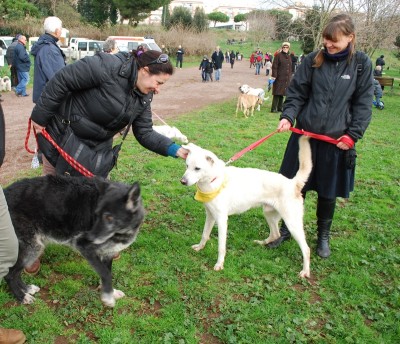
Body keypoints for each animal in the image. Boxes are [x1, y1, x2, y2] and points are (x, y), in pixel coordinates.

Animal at [3, 175, 145, 306]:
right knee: (9, 274)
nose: (88, 237)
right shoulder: (86, 249)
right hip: (33, 247)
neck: (121, 232)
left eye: (109, 218)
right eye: (96, 214)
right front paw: (107, 297)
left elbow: (107, 273)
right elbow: (105, 273)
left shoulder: (108, 254)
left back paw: (27, 289)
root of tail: (5, 191)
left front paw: (110, 292)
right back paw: (22, 296)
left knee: (15, 272)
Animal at [180, 136, 312, 278]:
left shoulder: (221, 220)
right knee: (275, 234)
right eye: (187, 166)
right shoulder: (210, 215)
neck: (214, 180)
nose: (182, 181)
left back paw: (305, 271)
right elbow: (205, 234)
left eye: (197, 168)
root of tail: (293, 183)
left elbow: (221, 247)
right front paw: (200, 247)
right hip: (269, 214)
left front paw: (219, 264)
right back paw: (261, 243)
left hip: (292, 223)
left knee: (306, 249)